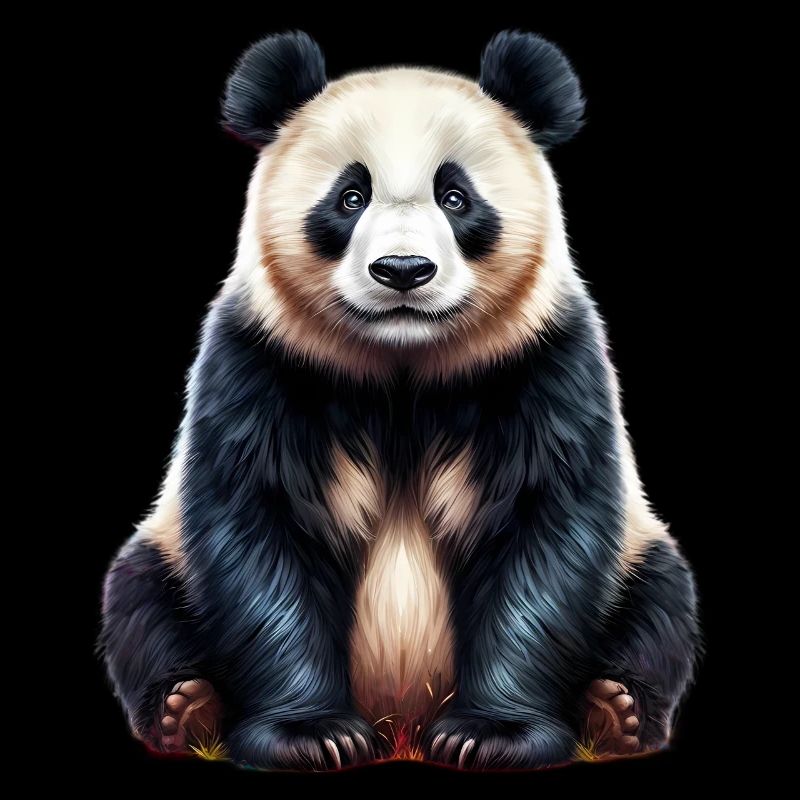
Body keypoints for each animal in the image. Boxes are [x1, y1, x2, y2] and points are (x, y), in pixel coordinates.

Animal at [100, 30, 699, 770]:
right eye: (350, 196)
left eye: (456, 197)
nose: (404, 270)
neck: (402, 364)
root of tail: (402, 721)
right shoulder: (261, 361)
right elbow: (260, 529)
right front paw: (311, 736)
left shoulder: (544, 361)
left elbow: (545, 528)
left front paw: (491, 736)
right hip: (167, 552)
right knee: (138, 599)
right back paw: (186, 709)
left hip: (637, 555)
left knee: (662, 602)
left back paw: (617, 712)